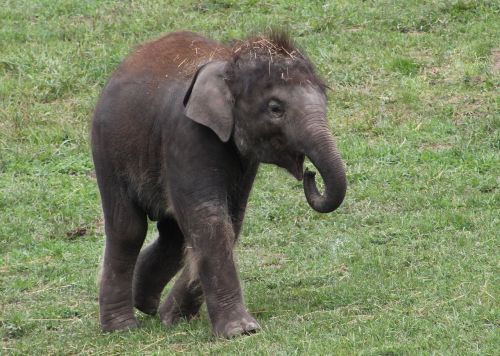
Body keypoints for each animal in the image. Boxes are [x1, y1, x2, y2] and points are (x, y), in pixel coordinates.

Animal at [91, 29, 348, 336]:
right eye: (275, 108)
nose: (310, 174)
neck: (228, 64)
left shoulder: (245, 161)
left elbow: (231, 219)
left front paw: (174, 318)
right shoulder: (186, 135)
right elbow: (209, 218)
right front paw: (242, 331)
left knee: (172, 235)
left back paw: (146, 304)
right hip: (107, 149)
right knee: (127, 229)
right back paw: (122, 327)